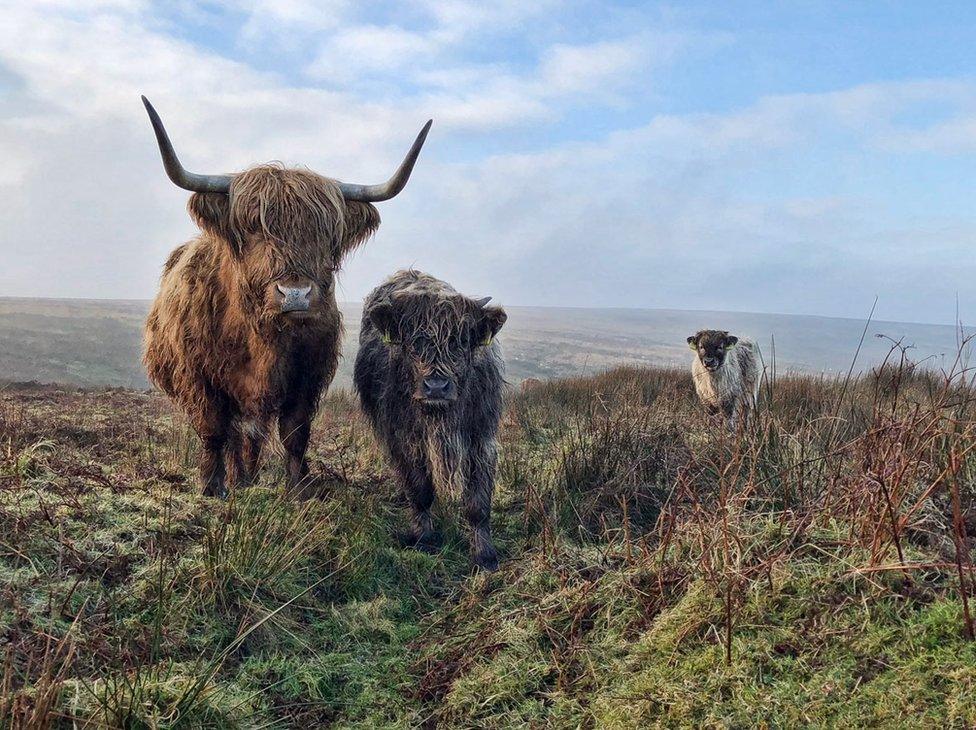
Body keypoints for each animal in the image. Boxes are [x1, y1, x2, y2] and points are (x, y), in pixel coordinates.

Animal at [142, 95, 430, 494]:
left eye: (328, 233)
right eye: (252, 227)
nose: (295, 295)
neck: (258, 335)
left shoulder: (307, 375)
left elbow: (295, 432)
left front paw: (298, 488)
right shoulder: (199, 376)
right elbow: (213, 429)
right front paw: (212, 486)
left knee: (250, 436)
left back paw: (246, 478)